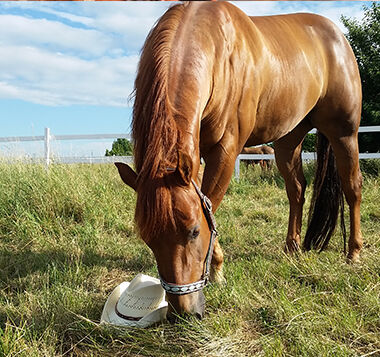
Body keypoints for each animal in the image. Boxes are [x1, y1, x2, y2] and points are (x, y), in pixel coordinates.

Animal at [115, 2, 362, 320]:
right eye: (147, 238)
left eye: (194, 232)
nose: (184, 313)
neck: (217, 50)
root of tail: (338, 36)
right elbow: (208, 202)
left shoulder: (225, 150)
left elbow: (211, 205)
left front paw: (218, 270)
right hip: (287, 141)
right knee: (297, 189)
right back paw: (292, 247)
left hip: (344, 133)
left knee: (352, 187)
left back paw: (354, 253)